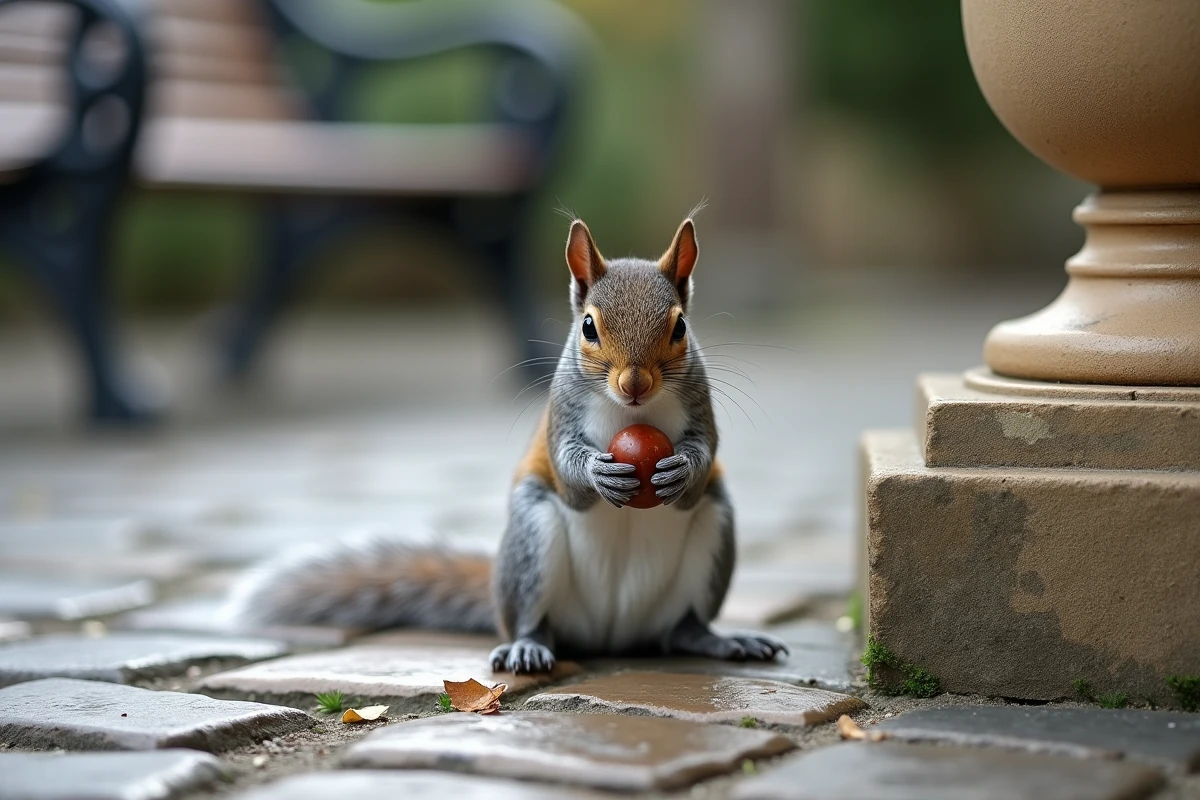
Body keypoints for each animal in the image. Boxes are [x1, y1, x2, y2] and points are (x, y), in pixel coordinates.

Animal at [225, 217, 787, 673]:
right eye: (588, 326)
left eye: (681, 327)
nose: (635, 384)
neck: (633, 413)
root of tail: (613, 636)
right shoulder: (559, 416)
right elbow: (568, 471)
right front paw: (597, 473)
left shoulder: (700, 407)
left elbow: (704, 453)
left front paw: (680, 470)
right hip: (532, 539)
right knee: (535, 622)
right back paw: (528, 646)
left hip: (714, 531)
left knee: (683, 628)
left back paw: (721, 641)